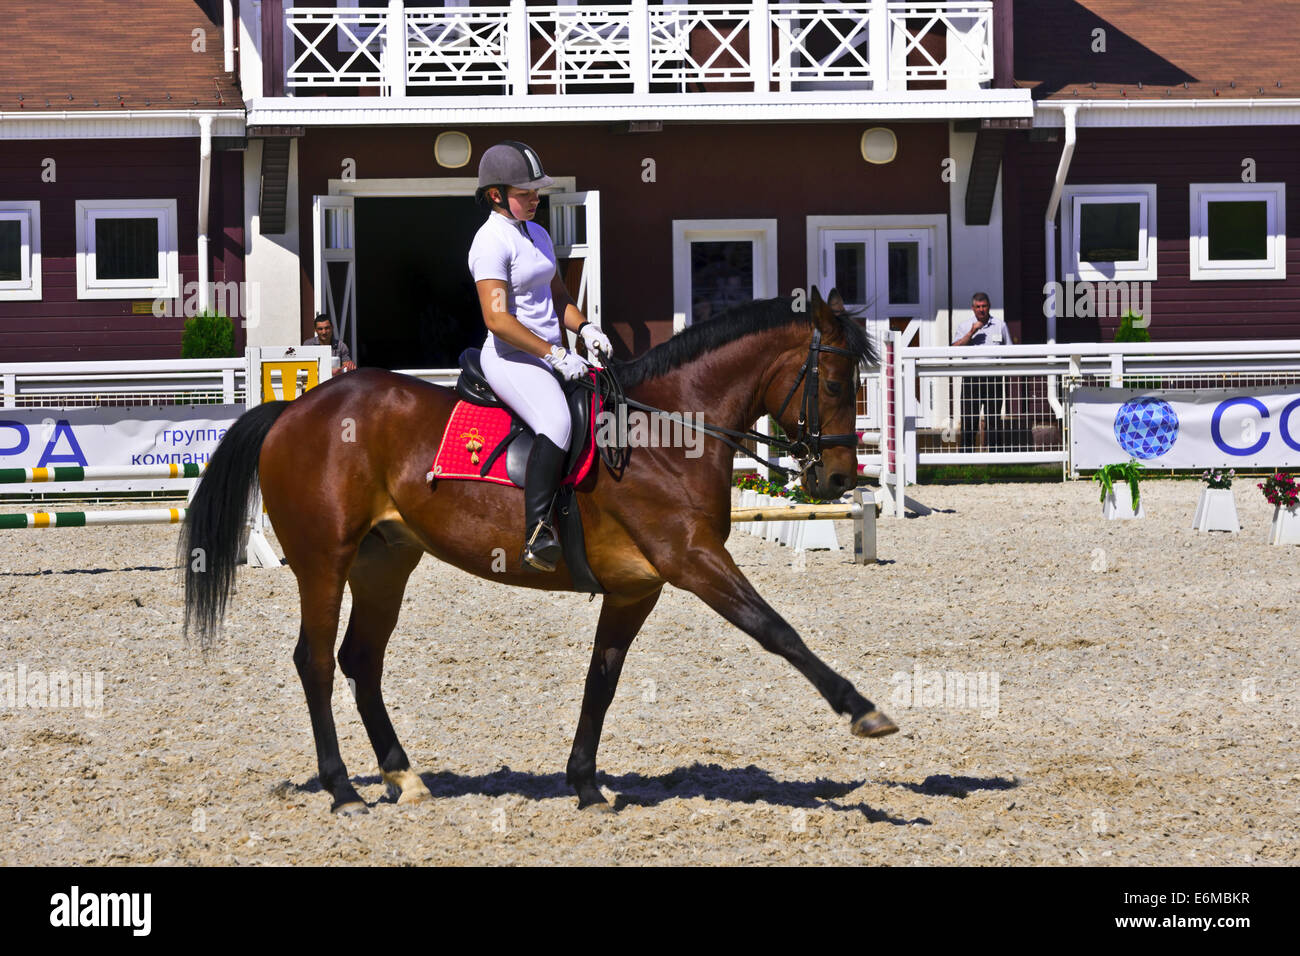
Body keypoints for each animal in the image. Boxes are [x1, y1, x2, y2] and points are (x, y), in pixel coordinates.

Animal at [182, 292, 898, 814]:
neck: (666, 431)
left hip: (385, 561)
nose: (838, 479)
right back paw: (342, 791)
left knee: (361, 660)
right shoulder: (692, 560)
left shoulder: (637, 587)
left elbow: (601, 681)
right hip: (324, 561)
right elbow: (778, 631)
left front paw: (584, 783)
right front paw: (864, 712)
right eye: (836, 383)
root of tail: (295, 408)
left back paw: (403, 777)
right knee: (315, 663)